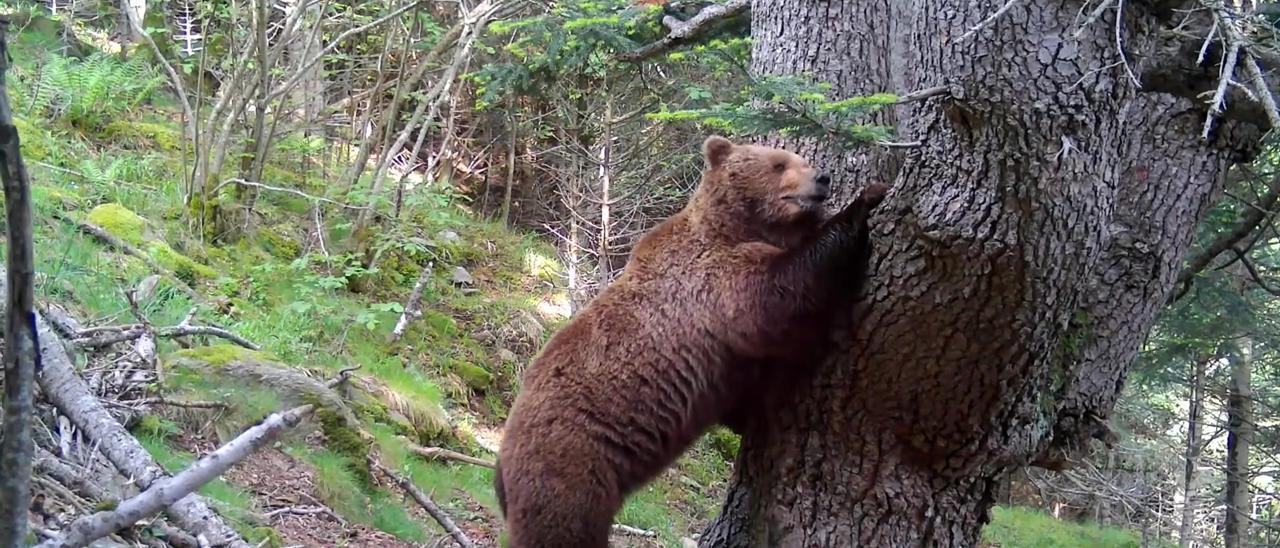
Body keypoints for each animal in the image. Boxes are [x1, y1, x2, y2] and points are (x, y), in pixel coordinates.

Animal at [494, 135, 885, 545]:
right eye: (779, 164)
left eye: (802, 160)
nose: (822, 178)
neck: (739, 226)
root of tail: (501, 463)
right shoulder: (711, 280)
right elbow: (776, 296)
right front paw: (865, 200)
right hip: (571, 461)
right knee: (562, 526)